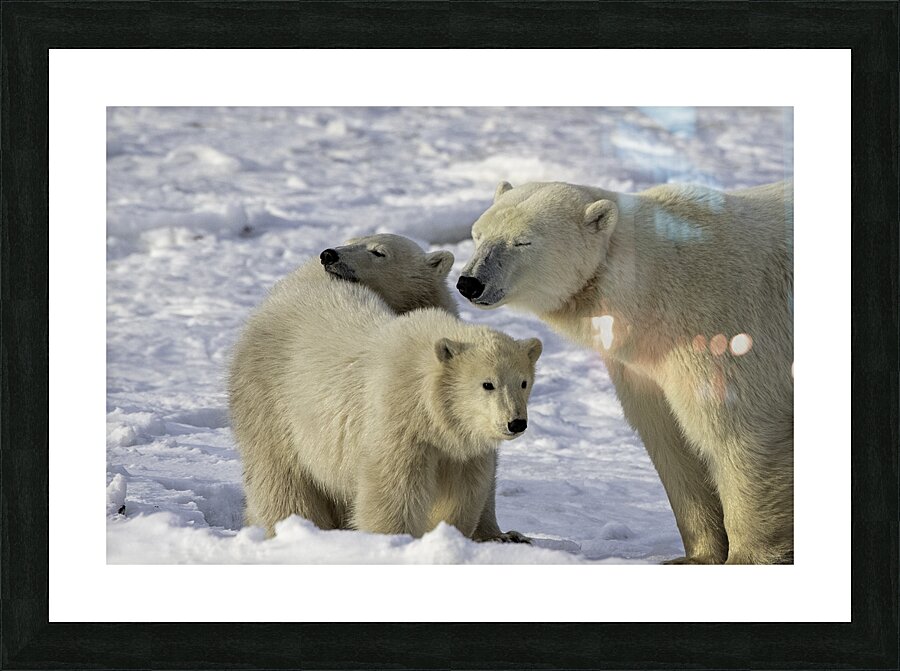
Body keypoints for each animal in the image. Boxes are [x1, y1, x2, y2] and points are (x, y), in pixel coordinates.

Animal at [229, 233, 541, 540]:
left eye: (378, 252)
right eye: (487, 384)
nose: (329, 255)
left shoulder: (459, 445)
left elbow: (465, 490)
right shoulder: (396, 421)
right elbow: (393, 491)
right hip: (271, 396)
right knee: (281, 477)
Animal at [457, 180, 793, 565]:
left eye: (522, 241)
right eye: (479, 234)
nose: (469, 282)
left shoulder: (724, 328)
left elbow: (740, 429)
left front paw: (746, 557)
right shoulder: (644, 366)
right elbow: (668, 439)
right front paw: (693, 556)